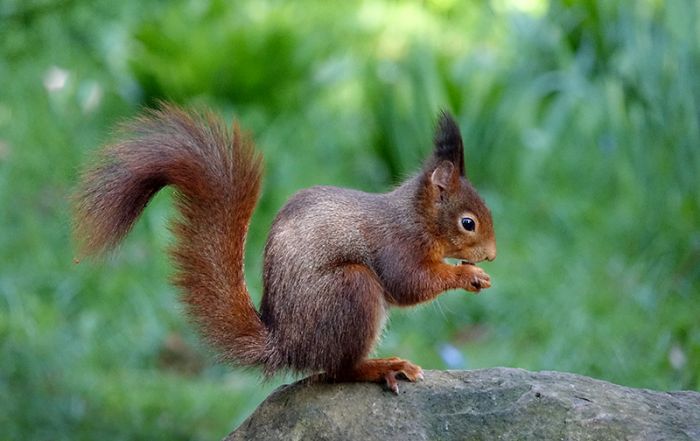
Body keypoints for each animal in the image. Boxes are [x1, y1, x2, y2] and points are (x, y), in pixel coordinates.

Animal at [73, 104, 496, 393]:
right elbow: (410, 283)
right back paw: (381, 367)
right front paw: (467, 274)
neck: (416, 218)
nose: (492, 254)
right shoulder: (397, 245)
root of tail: (289, 345)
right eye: (468, 222)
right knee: (337, 370)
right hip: (352, 290)